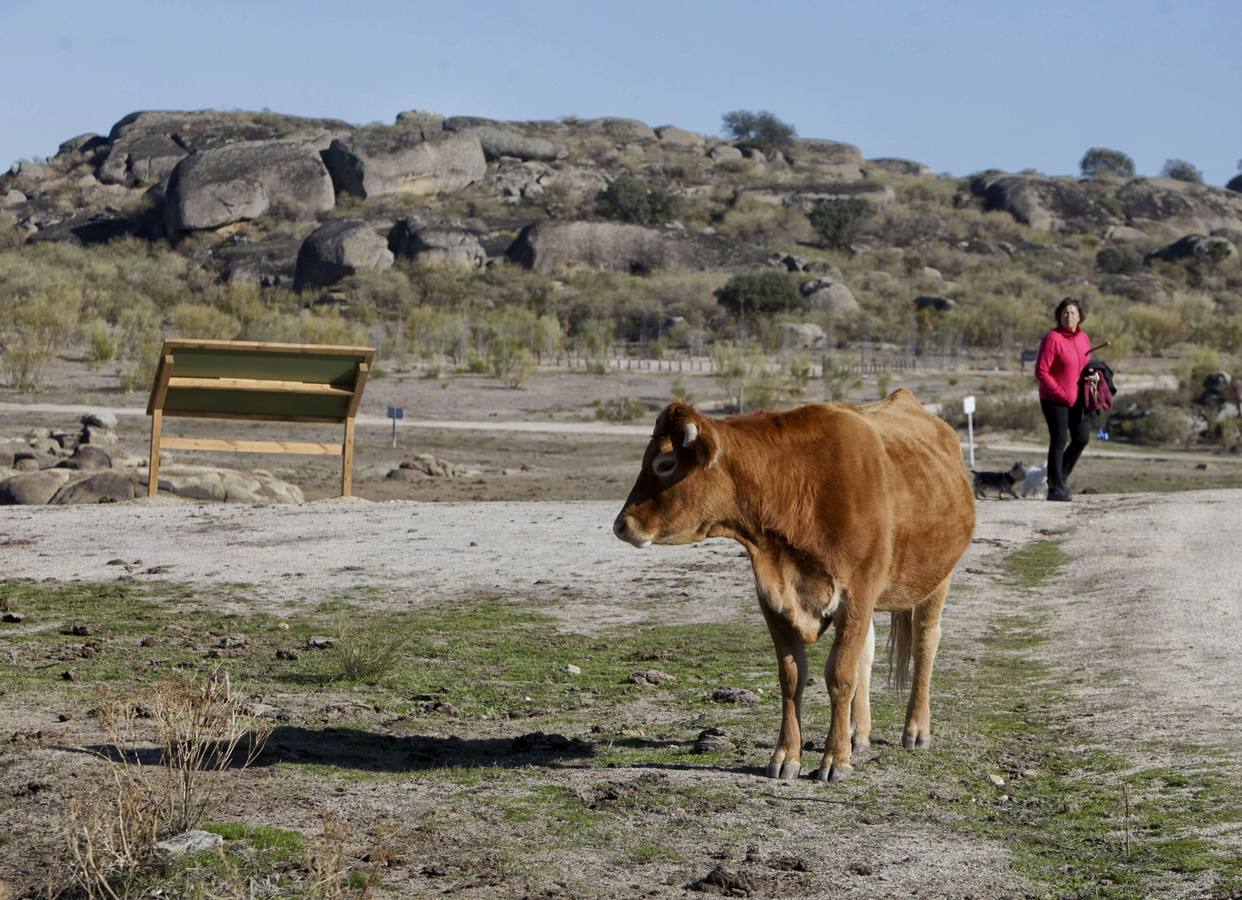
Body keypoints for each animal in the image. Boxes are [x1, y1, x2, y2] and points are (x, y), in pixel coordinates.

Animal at [613, 390, 975, 782]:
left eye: (665, 463)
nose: (621, 525)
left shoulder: (856, 595)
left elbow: (840, 675)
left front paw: (835, 759)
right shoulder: (773, 598)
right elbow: (792, 677)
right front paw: (787, 755)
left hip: (937, 581)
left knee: (925, 643)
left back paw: (915, 729)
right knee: (866, 654)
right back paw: (858, 734)